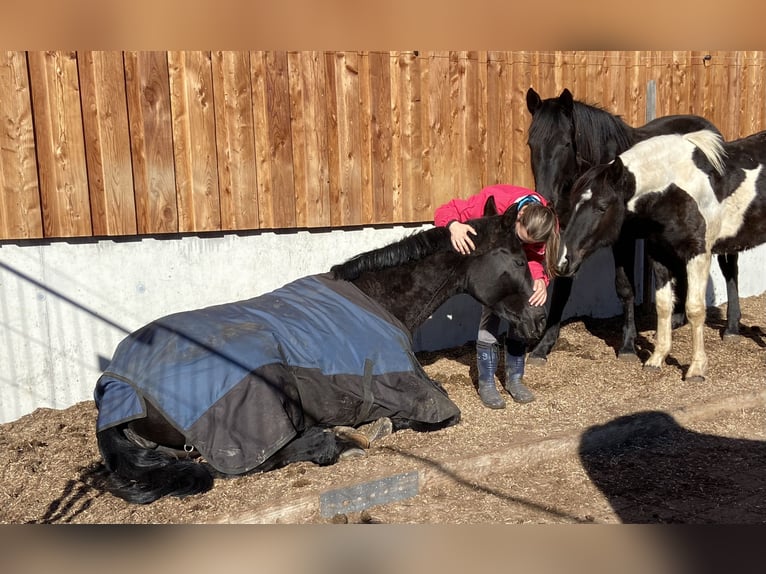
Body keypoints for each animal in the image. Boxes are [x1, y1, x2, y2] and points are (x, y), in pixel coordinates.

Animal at [528, 85, 744, 364]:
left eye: (566, 143)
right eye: (531, 144)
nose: (547, 199)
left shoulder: (623, 238)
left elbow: (625, 287)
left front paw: (628, 346)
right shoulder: (570, 237)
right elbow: (562, 289)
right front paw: (543, 347)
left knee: (730, 268)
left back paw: (732, 327)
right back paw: (676, 319)